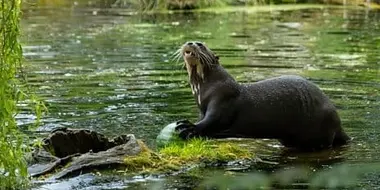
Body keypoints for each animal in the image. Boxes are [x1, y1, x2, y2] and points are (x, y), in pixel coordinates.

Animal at [174, 40, 348, 151]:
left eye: (201, 45)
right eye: (191, 41)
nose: (190, 43)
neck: (206, 89)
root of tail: (338, 124)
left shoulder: (223, 99)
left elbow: (213, 120)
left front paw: (188, 127)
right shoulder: (202, 108)